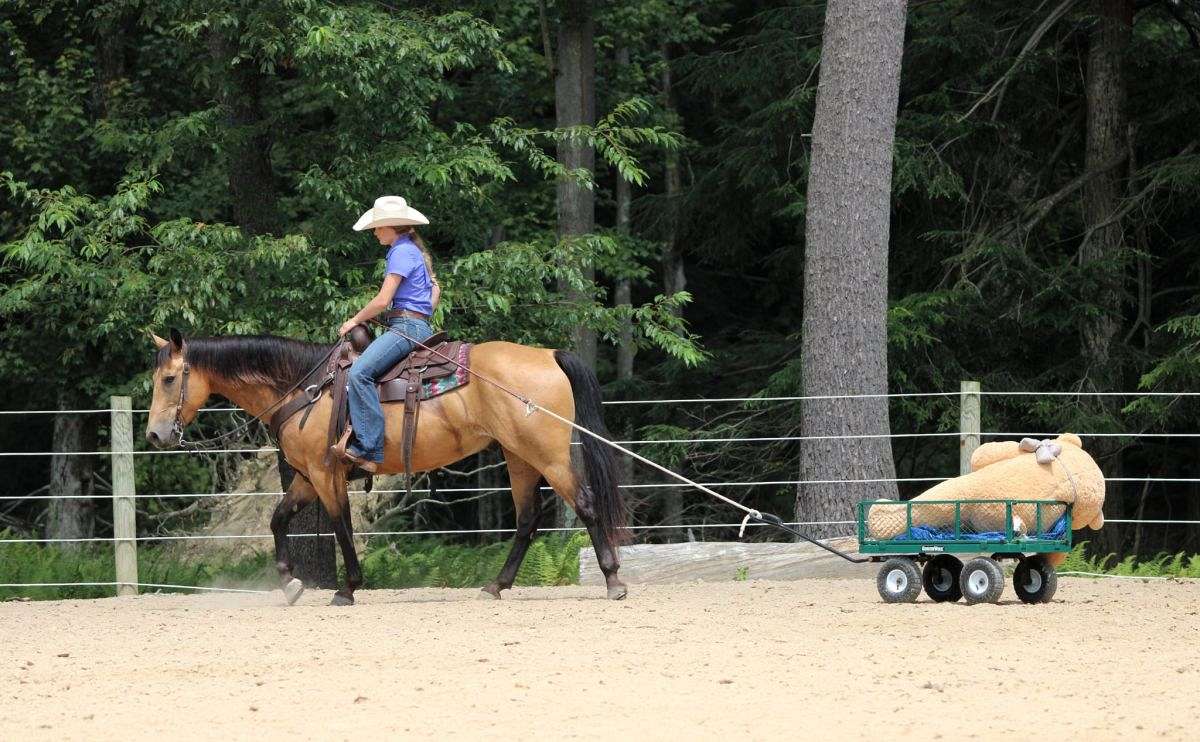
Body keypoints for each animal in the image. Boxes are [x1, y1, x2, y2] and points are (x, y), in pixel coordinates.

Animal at [144, 328, 627, 605]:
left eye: (168, 379)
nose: (155, 435)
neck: (305, 387)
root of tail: (548, 355)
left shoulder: (325, 474)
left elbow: (340, 526)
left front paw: (347, 588)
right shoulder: (306, 476)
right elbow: (278, 519)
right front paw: (290, 584)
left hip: (547, 455)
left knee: (585, 504)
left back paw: (612, 581)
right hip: (519, 456)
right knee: (527, 519)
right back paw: (497, 585)